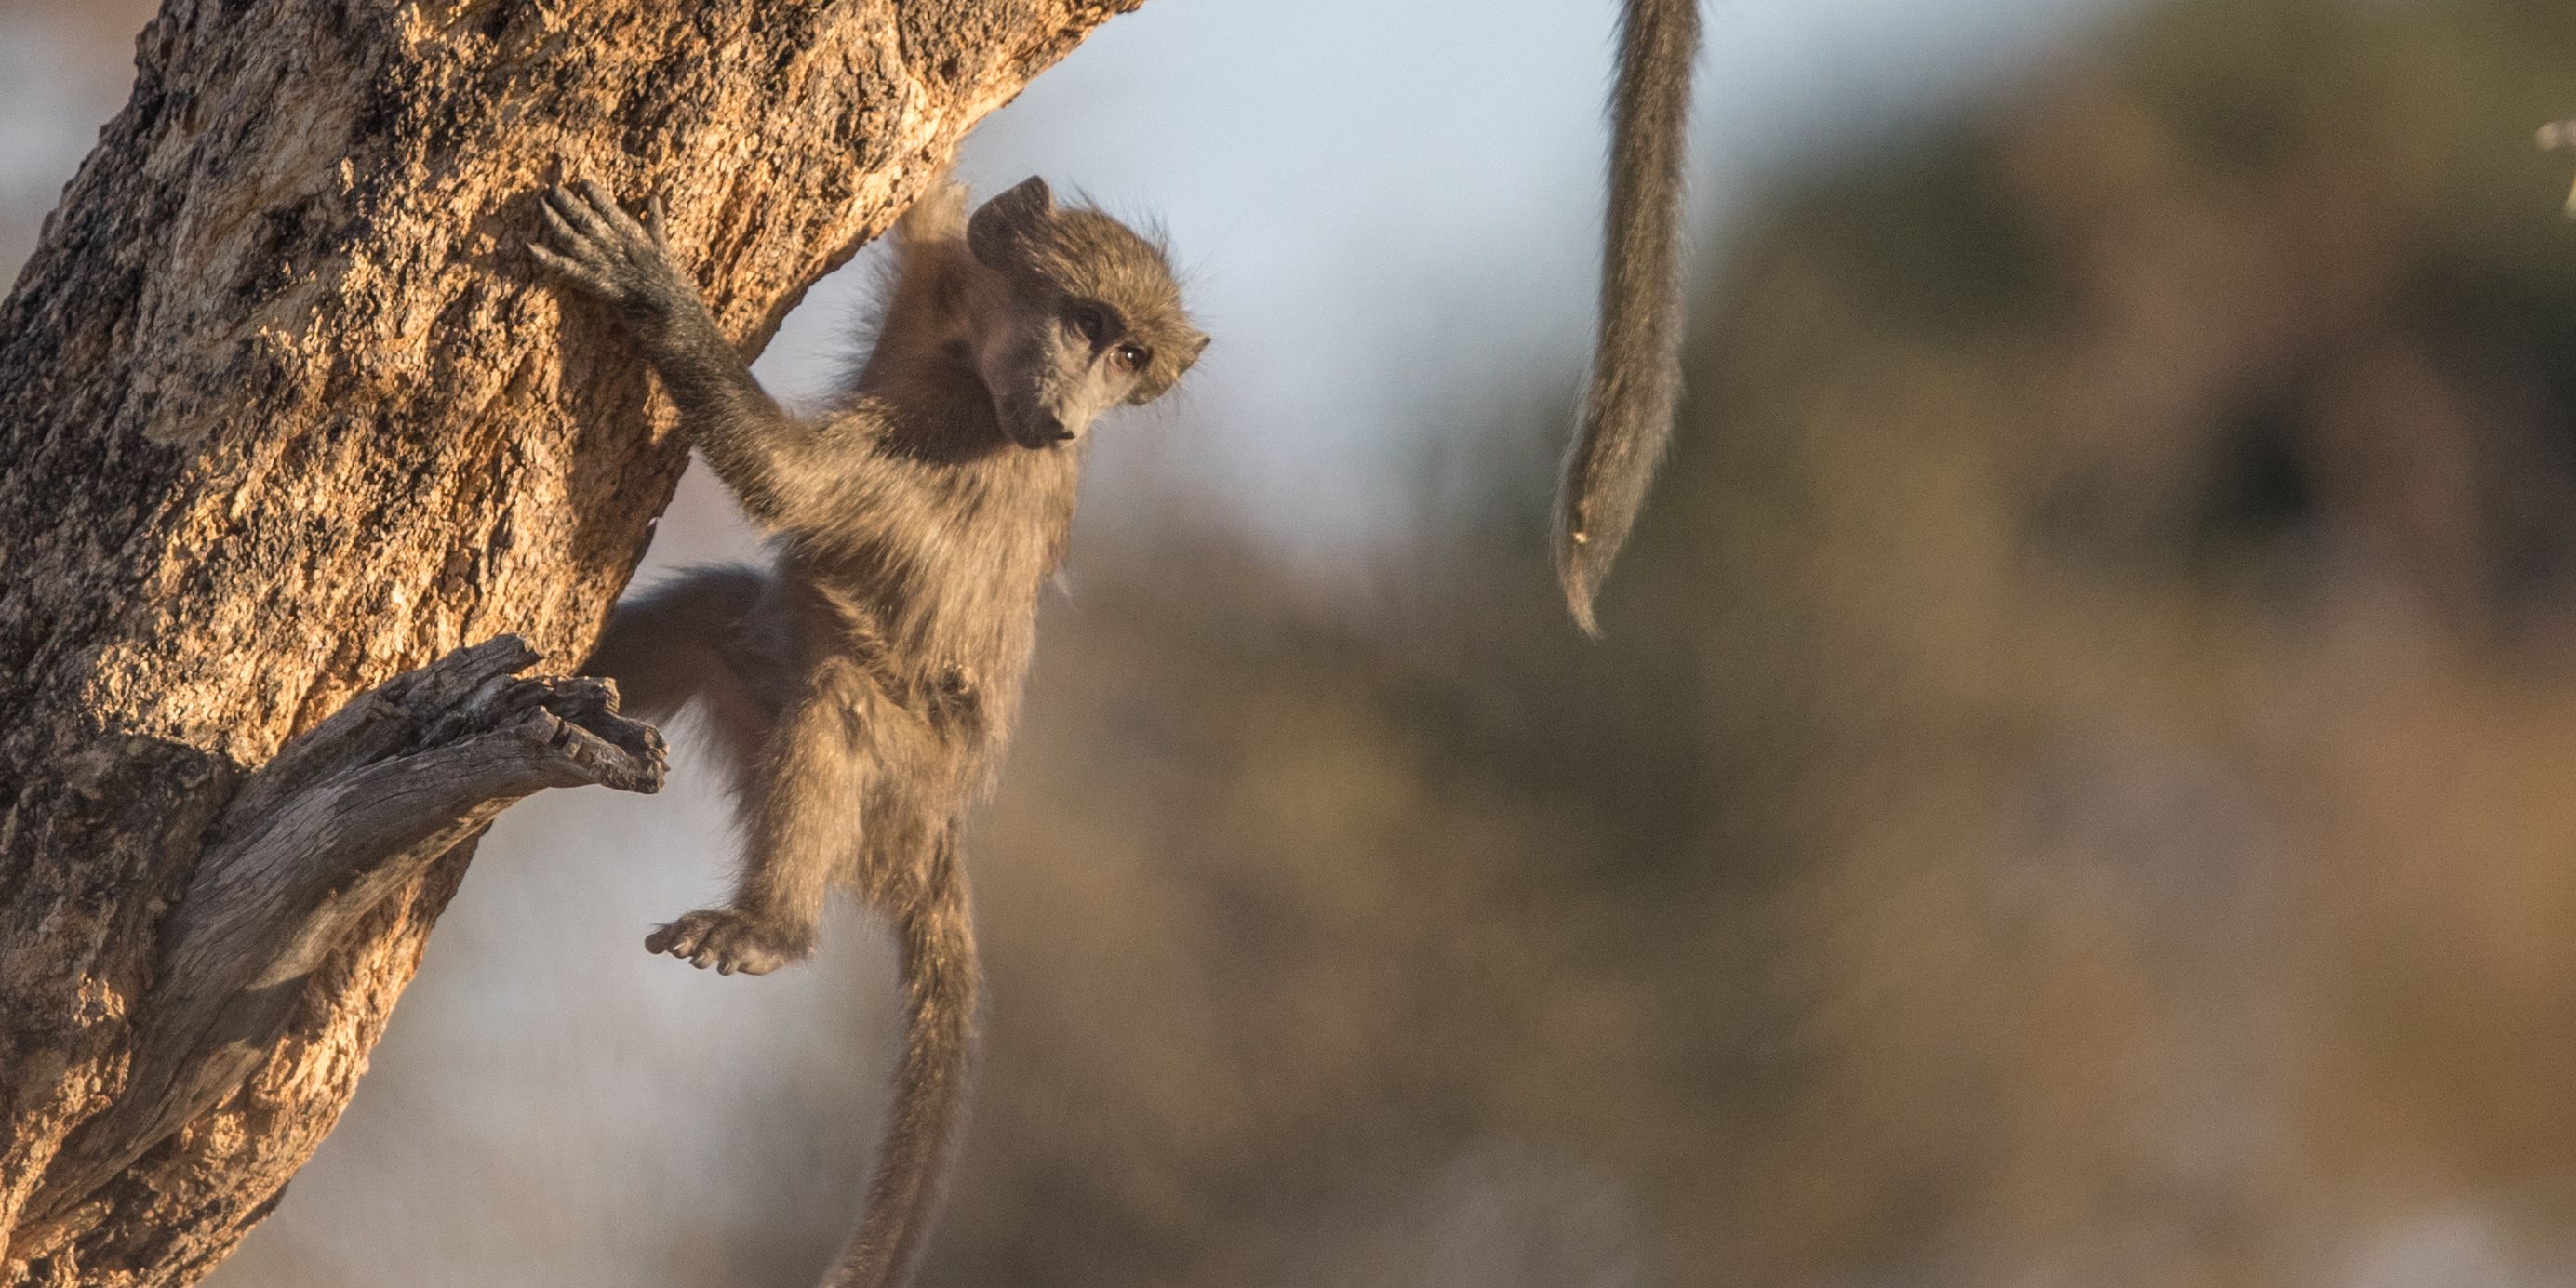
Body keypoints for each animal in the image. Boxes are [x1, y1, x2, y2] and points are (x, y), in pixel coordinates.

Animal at [526, 174, 1206, 1288]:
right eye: (1091, 326)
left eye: (1131, 358)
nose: (1065, 421)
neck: (967, 350)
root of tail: (941, 828)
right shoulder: (938, 297)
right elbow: (938, 195)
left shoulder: (938, 435)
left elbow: (790, 482)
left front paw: (649, 290)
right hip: (761, 692)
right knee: (717, 613)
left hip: (901, 764)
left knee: (840, 701)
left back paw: (770, 929)